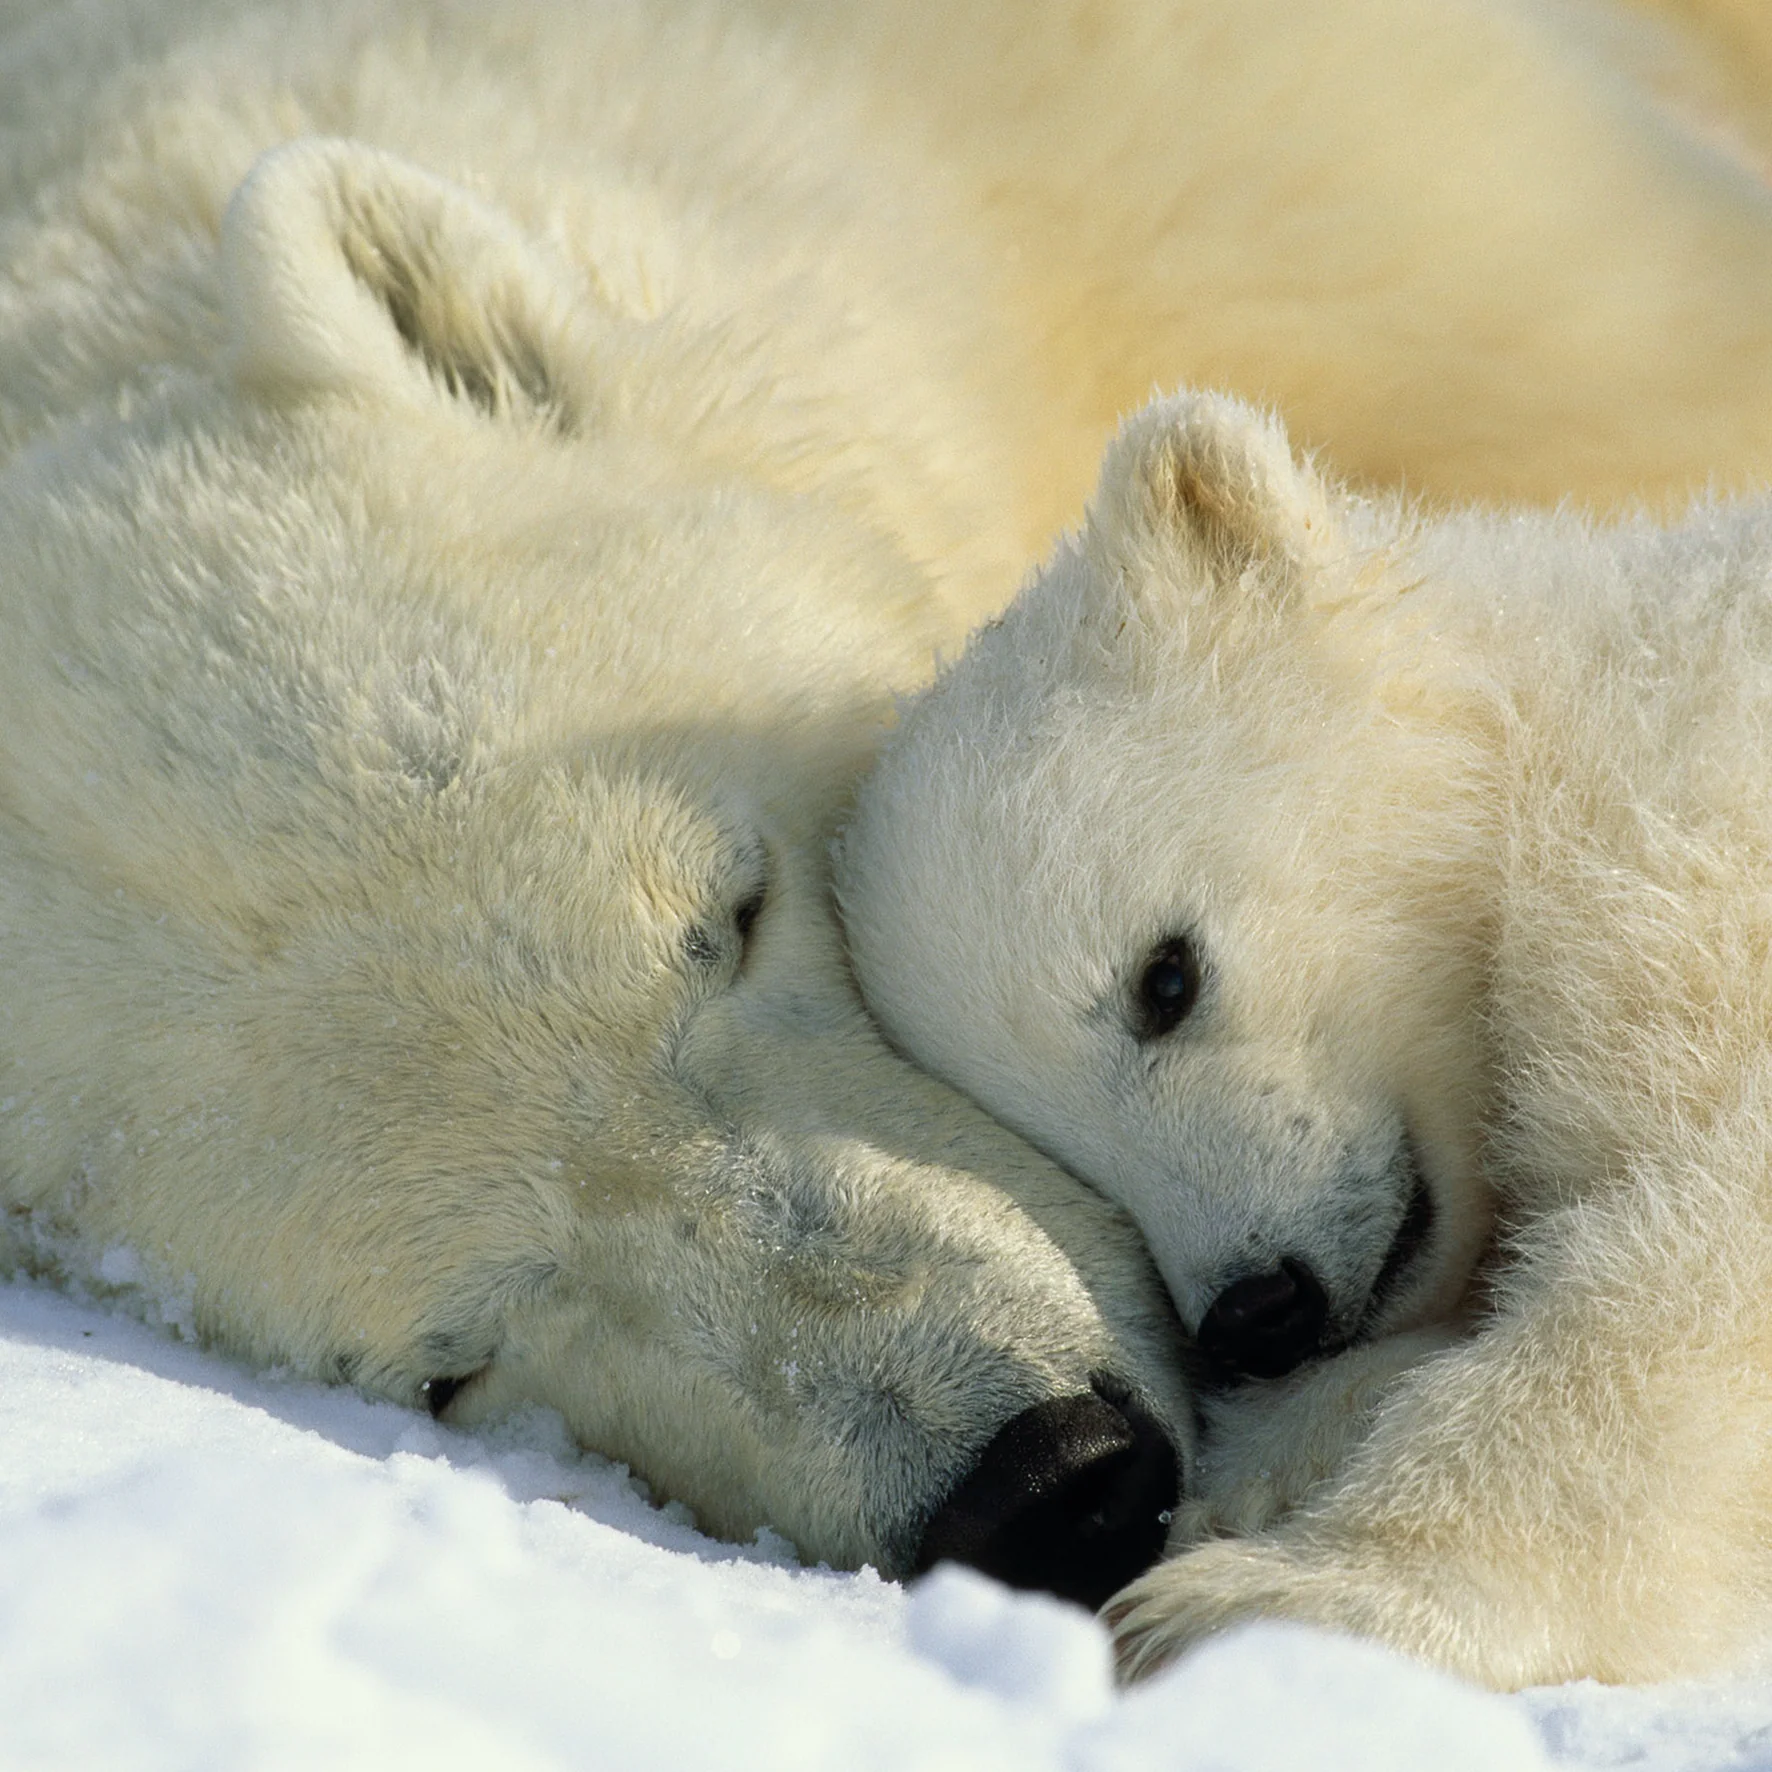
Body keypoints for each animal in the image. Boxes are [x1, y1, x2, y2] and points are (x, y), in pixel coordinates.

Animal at [836, 387, 1772, 1687]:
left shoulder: (1697, 855)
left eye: (1163, 978)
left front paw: (1251, 1599)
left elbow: (1704, 1264)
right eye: (1056, 1146)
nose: (1253, 1310)